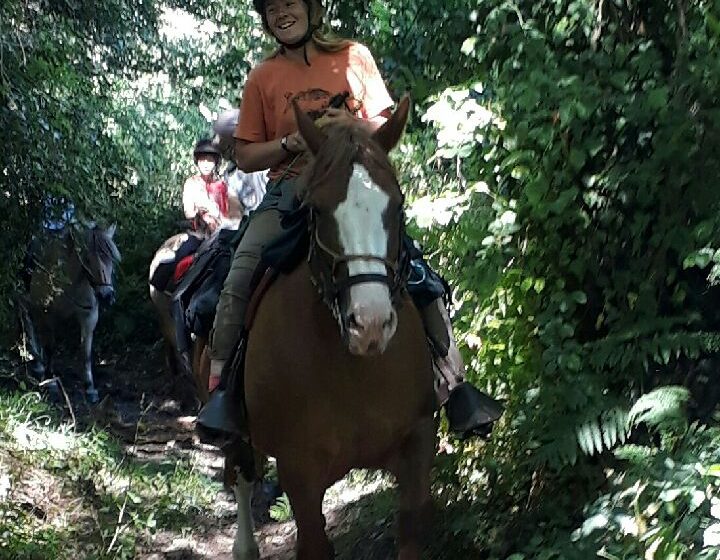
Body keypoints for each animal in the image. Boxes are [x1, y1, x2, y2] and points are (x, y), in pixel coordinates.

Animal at [19, 223, 121, 402]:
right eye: (86, 259)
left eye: (110, 258)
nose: (106, 295)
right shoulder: (46, 314)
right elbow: (50, 348)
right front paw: (50, 381)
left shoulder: (89, 317)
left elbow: (85, 353)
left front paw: (90, 388)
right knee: (27, 320)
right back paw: (38, 364)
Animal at [228, 96, 436, 560]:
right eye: (317, 209)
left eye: (398, 205)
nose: (370, 323)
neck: (352, 370)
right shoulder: (300, 472)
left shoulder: (417, 445)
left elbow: (412, 529)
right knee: (243, 478)